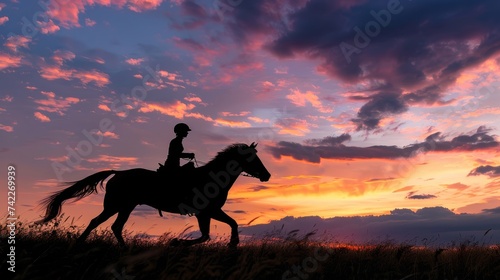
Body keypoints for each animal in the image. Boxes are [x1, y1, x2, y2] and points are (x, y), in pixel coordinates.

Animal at [37, 143, 272, 246]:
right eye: (252, 158)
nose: (267, 175)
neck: (212, 177)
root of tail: (118, 173)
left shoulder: (207, 212)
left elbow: (218, 229)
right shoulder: (206, 211)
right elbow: (219, 229)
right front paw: (178, 243)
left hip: (126, 206)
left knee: (116, 227)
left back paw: (124, 250)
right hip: (115, 205)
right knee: (97, 222)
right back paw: (80, 244)